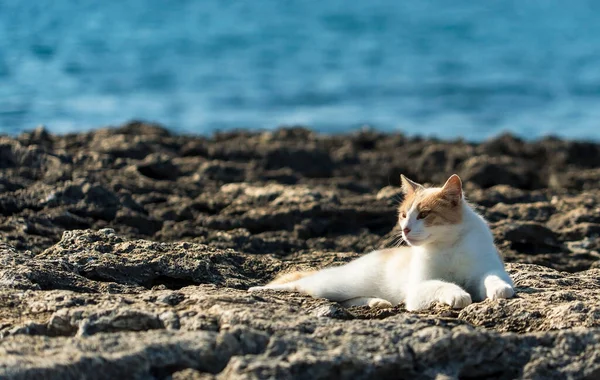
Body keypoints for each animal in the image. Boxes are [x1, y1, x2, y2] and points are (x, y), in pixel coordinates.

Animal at [248, 174, 516, 310]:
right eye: (404, 215)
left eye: (424, 214)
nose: (405, 229)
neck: (447, 244)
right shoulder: (417, 290)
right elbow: (441, 285)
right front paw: (457, 294)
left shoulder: (486, 268)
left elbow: (493, 278)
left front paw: (500, 289)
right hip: (336, 284)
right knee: (305, 285)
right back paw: (260, 289)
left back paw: (376, 301)